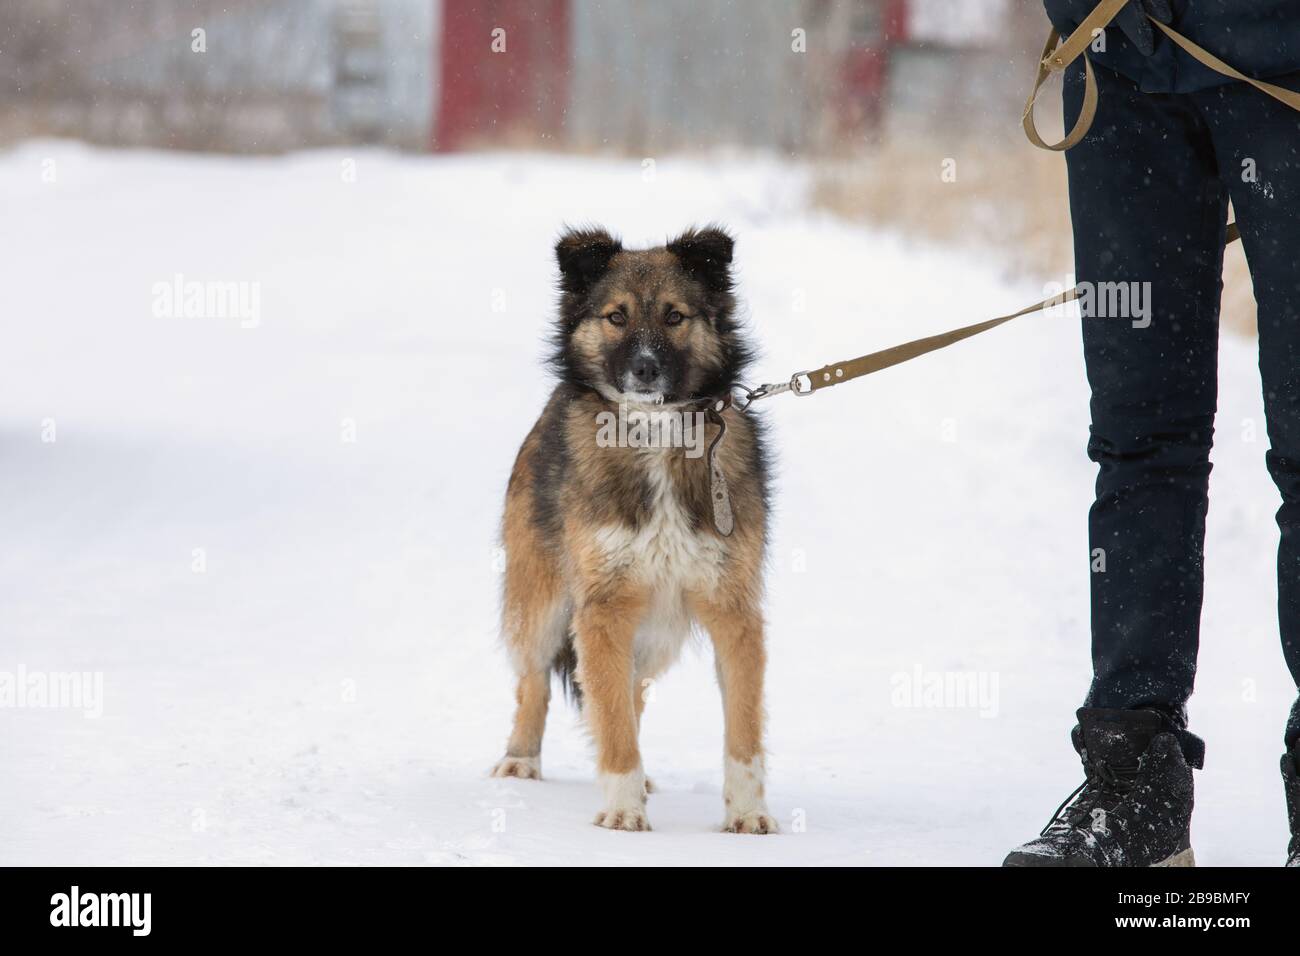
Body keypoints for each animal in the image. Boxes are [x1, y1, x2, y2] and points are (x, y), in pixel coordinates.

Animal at [486, 227, 769, 832]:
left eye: (674, 316)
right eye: (616, 317)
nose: (644, 368)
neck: (656, 432)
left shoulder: (732, 608)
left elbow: (743, 728)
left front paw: (750, 814)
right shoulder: (603, 606)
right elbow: (609, 714)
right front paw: (621, 810)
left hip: (655, 630)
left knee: (630, 691)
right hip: (541, 600)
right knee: (534, 681)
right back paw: (521, 760)